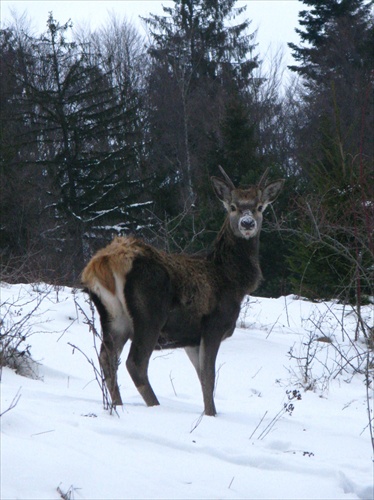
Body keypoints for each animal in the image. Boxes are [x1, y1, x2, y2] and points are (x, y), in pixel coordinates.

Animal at [82, 166, 284, 416]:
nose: (247, 223)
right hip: (150, 313)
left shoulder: (190, 338)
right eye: (232, 206)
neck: (233, 280)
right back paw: (155, 406)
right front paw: (211, 415)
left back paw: (118, 405)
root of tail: (103, 262)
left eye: (259, 207)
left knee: (107, 358)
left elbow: (201, 377)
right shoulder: (213, 325)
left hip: (113, 318)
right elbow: (209, 377)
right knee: (135, 363)